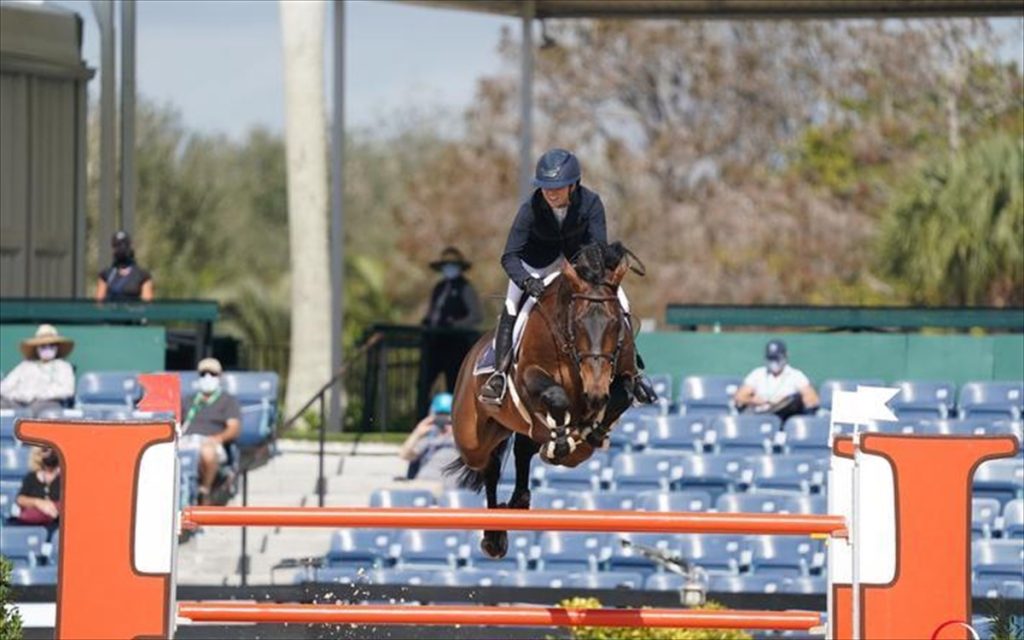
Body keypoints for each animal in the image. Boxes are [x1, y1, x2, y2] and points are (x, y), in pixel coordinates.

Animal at [446, 241, 638, 557]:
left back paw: (518, 503)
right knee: (489, 465)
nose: (596, 392)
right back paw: (493, 536)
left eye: (615, 323)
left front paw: (592, 432)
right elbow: (556, 396)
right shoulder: (530, 377)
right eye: (578, 322)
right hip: (472, 438)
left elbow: (624, 394)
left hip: (529, 430)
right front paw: (563, 442)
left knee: (522, 452)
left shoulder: (622, 375)